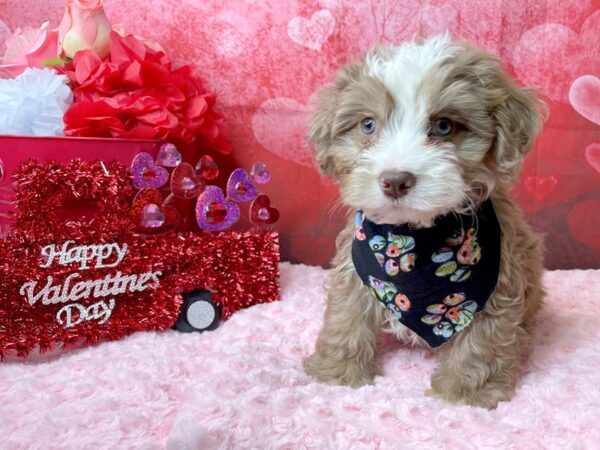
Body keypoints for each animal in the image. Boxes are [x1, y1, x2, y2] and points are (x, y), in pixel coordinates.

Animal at [304, 33, 544, 410]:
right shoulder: (357, 263)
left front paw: (465, 395)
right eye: (368, 124)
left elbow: (483, 337)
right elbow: (347, 314)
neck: (414, 240)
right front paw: (337, 372)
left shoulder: (499, 276)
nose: (395, 180)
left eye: (443, 126)